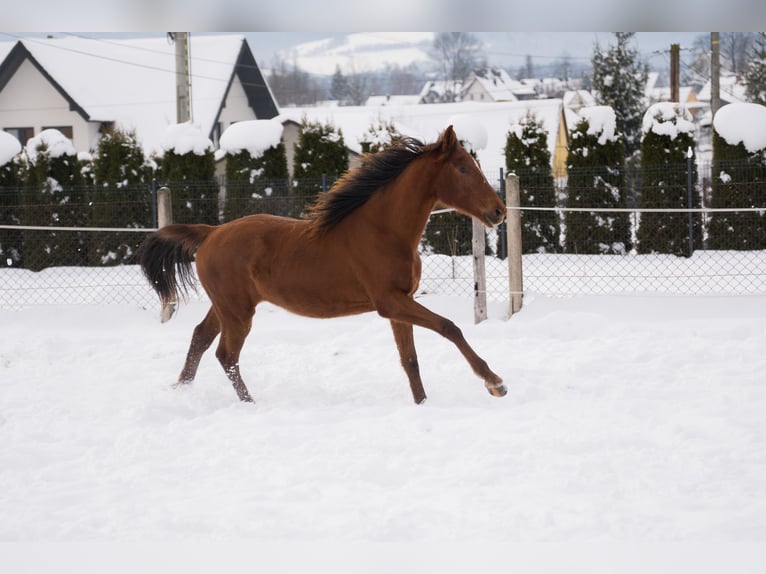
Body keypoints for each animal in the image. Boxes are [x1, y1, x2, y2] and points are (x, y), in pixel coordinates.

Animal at [139, 125, 507, 404]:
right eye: (463, 168)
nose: (499, 211)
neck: (383, 230)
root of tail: (211, 233)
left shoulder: (401, 302)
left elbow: (410, 360)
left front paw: (422, 404)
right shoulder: (390, 302)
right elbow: (450, 327)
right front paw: (495, 383)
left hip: (226, 307)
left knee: (200, 339)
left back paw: (181, 390)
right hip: (237, 312)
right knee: (226, 355)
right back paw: (249, 404)